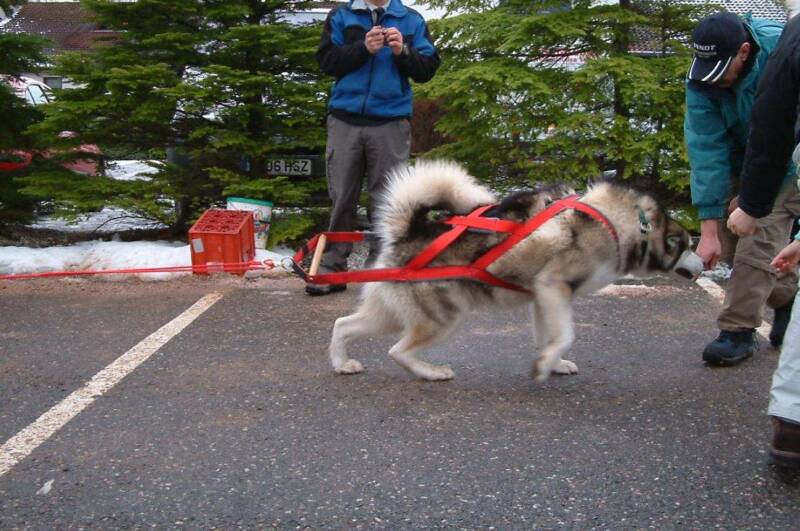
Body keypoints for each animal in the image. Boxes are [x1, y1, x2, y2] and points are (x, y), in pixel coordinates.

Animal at [328, 159, 704, 382]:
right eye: (688, 246)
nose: (706, 263)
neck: (620, 222)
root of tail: (409, 233)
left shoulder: (544, 297)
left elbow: (548, 337)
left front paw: (552, 362)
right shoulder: (555, 287)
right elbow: (566, 334)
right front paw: (546, 365)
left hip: (391, 313)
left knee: (343, 324)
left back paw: (342, 363)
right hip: (443, 318)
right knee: (398, 351)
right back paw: (432, 372)